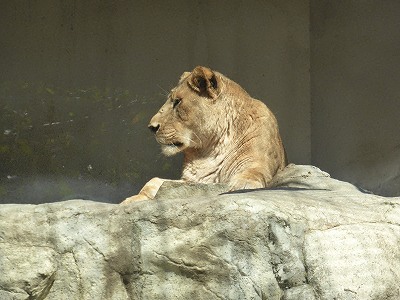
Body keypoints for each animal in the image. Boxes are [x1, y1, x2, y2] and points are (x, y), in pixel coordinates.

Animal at [120, 66, 286, 204]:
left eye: (177, 102)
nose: (152, 127)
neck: (211, 148)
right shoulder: (194, 181)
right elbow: (154, 181)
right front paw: (133, 199)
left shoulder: (257, 160)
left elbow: (253, 171)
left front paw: (243, 184)